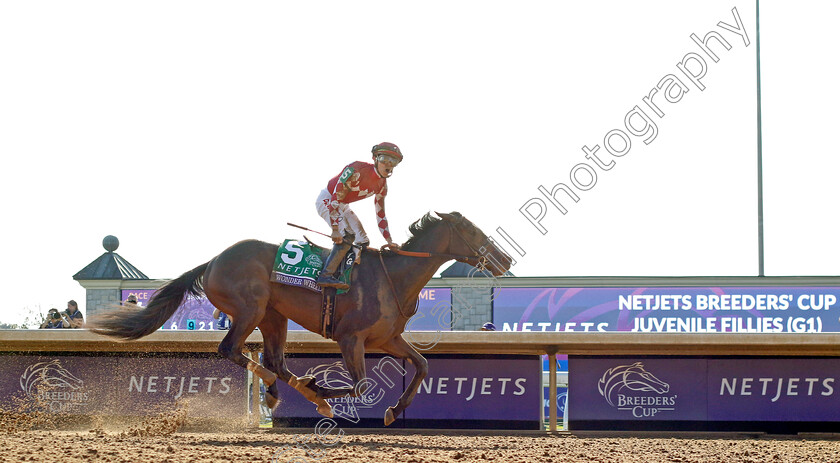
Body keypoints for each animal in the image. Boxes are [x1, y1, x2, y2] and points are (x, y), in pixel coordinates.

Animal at [92, 212, 512, 426]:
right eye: (472, 229)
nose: (505, 258)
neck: (393, 277)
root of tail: (212, 261)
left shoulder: (386, 340)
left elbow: (423, 365)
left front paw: (394, 410)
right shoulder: (350, 339)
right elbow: (360, 386)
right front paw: (324, 390)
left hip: (274, 317)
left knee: (274, 360)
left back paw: (292, 392)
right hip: (250, 309)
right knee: (233, 350)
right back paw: (279, 391)